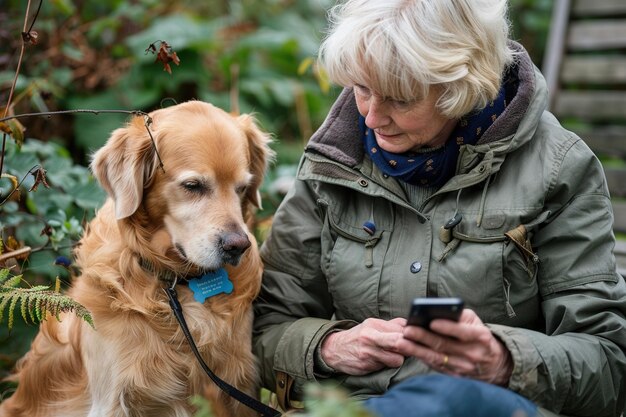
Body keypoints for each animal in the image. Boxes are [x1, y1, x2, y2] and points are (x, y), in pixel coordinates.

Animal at [0, 101, 272, 416]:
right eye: (193, 186)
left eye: (242, 188)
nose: (238, 246)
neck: (174, 282)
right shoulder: (114, 398)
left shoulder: (240, 386)